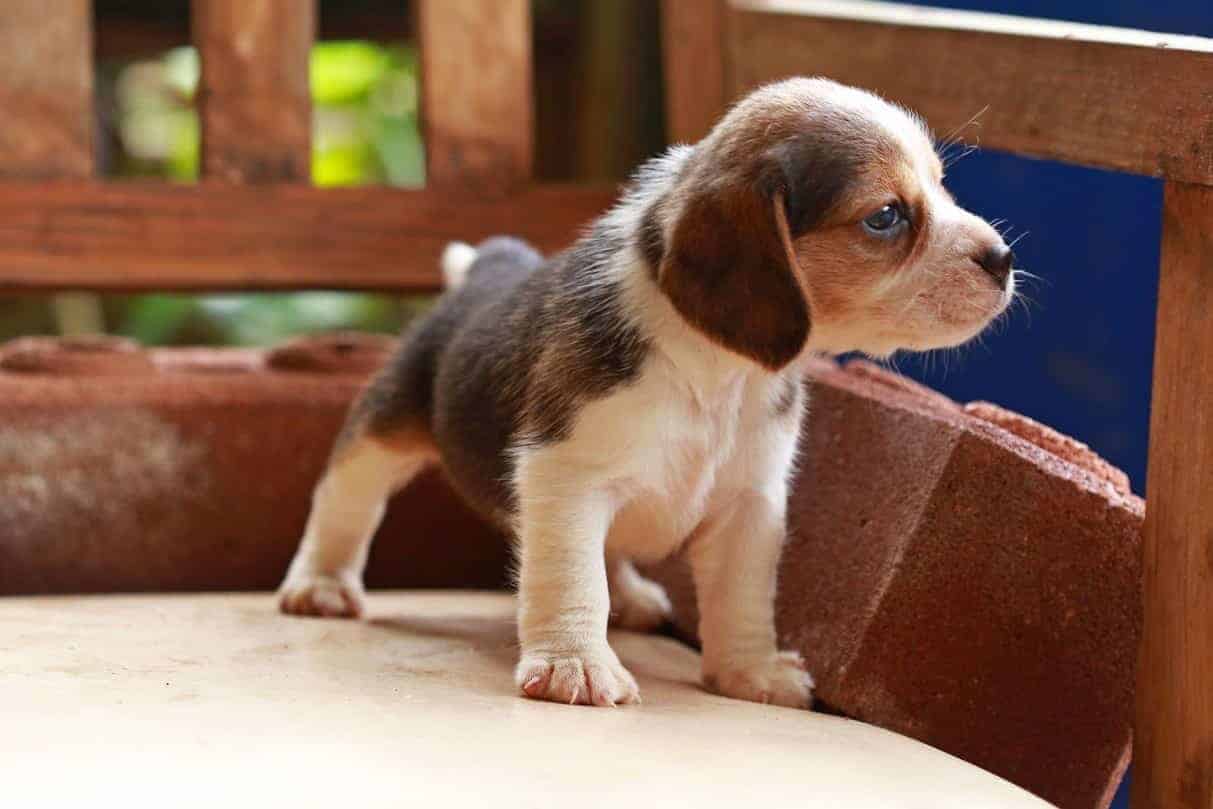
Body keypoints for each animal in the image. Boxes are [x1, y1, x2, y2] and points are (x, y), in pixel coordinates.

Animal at [277, 75, 1014, 708]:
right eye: (886, 216)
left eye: (941, 188)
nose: (1004, 258)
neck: (722, 372)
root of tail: (492, 266)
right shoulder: (568, 475)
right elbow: (573, 577)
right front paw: (575, 663)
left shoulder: (750, 505)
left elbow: (742, 598)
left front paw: (749, 671)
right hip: (384, 428)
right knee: (345, 502)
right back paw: (319, 586)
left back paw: (632, 596)